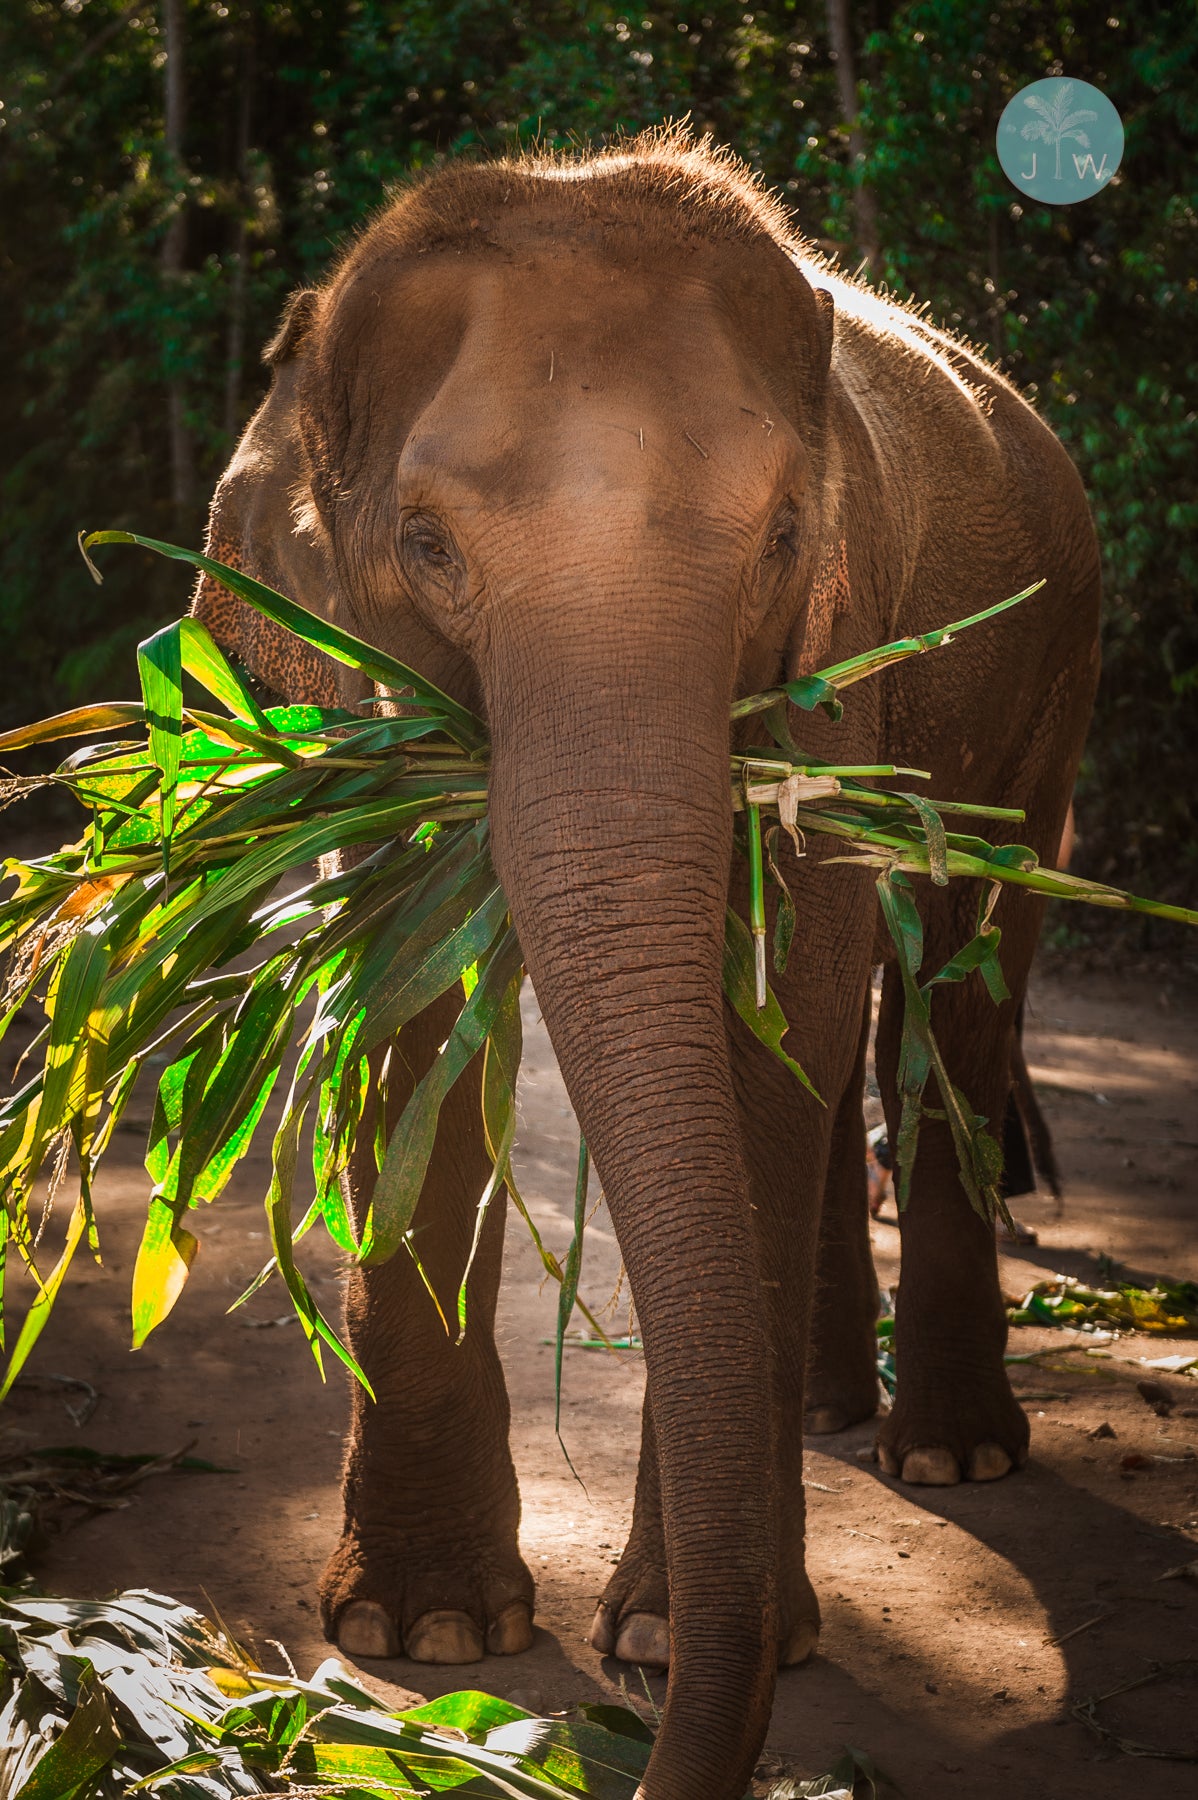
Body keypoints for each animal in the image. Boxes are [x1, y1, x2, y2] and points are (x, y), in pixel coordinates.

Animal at [192, 132, 1100, 1800]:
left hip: (1050, 683)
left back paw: (948, 1451)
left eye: (783, 538)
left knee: (954, 968)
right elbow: (411, 985)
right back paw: (829, 1409)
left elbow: (784, 978)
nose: (658, 1740)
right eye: (425, 544)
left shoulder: (836, 654)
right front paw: (423, 1631)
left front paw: (671, 1642)